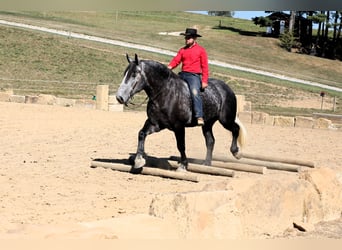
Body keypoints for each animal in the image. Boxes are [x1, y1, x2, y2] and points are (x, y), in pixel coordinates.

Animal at [115, 54, 246, 172]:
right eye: (125, 73)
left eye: (134, 74)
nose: (119, 97)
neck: (166, 93)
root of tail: (227, 88)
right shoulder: (155, 124)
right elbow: (141, 134)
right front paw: (138, 160)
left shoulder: (179, 126)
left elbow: (181, 145)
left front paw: (183, 165)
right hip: (207, 124)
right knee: (210, 141)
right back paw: (207, 163)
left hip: (226, 120)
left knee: (235, 129)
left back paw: (236, 152)